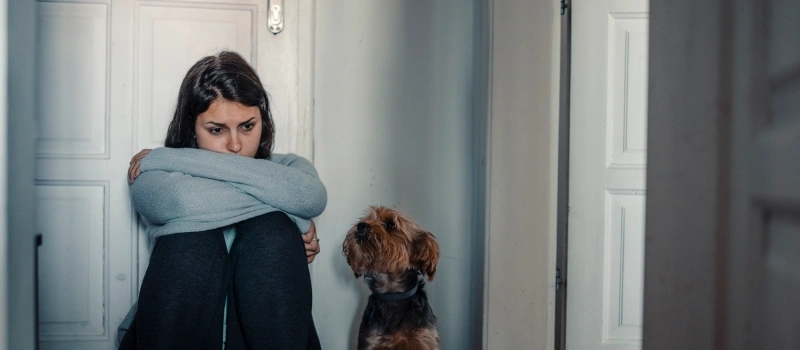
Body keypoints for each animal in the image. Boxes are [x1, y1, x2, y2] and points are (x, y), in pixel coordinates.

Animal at [340, 206, 440, 348]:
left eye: (390, 224)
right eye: (365, 219)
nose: (361, 225)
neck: (392, 294)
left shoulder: (423, 339)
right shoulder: (371, 340)